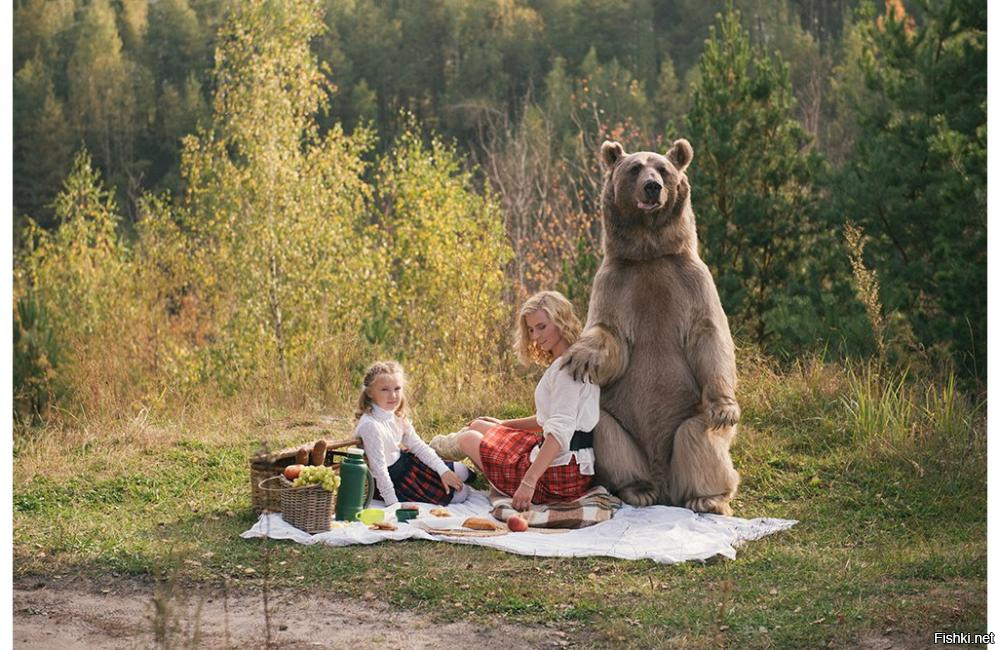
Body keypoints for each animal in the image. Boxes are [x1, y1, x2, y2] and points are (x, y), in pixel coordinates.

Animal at [564, 139, 744, 512]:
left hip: (690, 414)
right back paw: (637, 490)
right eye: (635, 168)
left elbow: (709, 335)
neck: (649, 253)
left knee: (698, 439)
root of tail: (664, 485)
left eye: (663, 169)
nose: (652, 187)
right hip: (621, 424)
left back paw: (709, 498)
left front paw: (726, 410)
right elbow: (609, 333)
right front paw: (581, 356)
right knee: (607, 434)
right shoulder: (615, 283)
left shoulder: (691, 281)